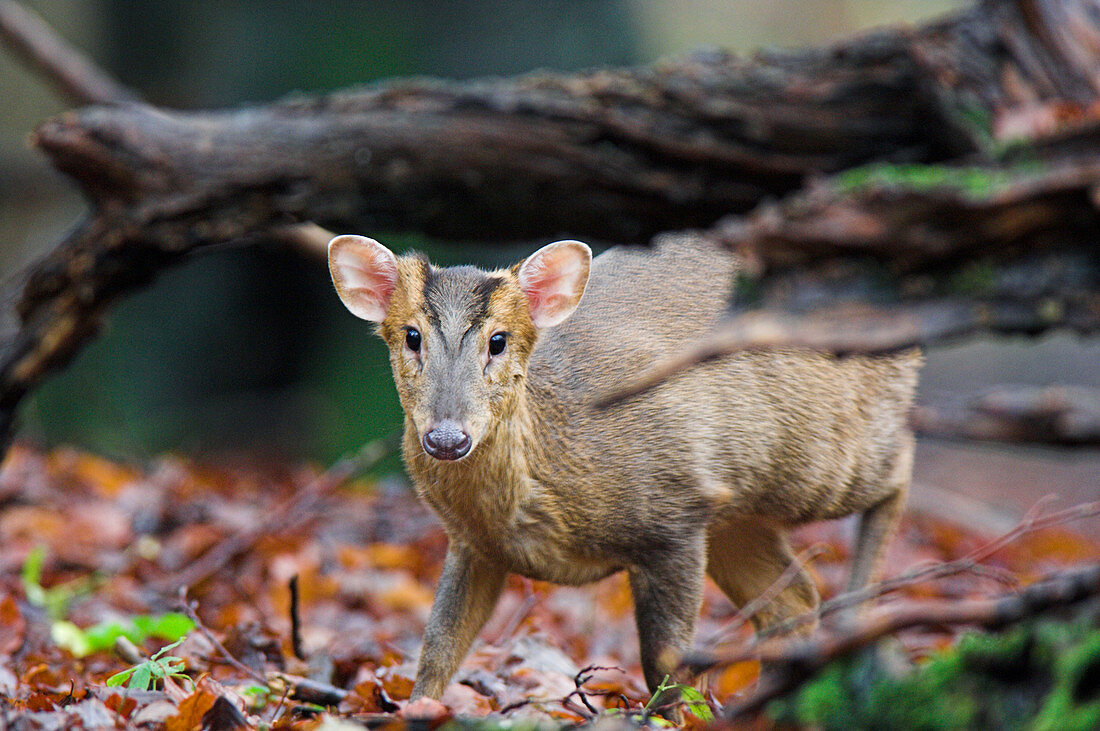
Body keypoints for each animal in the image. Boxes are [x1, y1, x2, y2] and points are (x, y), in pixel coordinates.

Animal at [325, 235, 919, 712]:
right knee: (794, 599)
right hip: (735, 509)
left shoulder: (673, 513)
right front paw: (416, 709)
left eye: (498, 340)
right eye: (411, 336)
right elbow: (436, 650)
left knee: (900, 466)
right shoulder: (473, 544)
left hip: (820, 457)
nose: (447, 438)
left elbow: (665, 663)